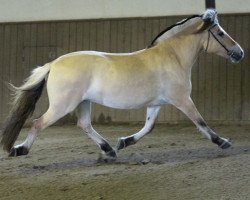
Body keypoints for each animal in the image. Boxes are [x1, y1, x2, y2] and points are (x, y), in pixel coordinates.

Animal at [0, 9, 243, 159]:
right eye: (220, 32)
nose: (239, 53)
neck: (172, 57)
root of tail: (53, 63)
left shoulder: (156, 103)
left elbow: (148, 127)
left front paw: (124, 142)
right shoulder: (182, 99)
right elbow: (200, 122)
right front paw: (223, 141)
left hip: (83, 102)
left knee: (84, 125)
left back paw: (109, 150)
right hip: (63, 106)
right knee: (38, 123)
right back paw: (20, 150)